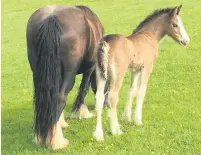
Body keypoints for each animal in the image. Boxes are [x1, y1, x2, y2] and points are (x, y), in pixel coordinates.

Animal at [26, 5, 103, 149]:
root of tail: (51, 17)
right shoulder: (89, 68)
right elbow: (83, 90)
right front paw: (83, 113)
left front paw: (61, 122)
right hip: (69, 72)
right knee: (61, 98)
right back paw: (56, 141)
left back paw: (41, 137)